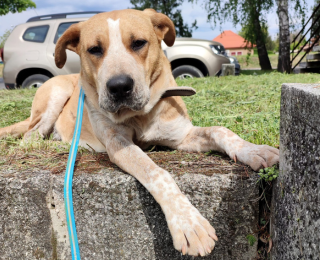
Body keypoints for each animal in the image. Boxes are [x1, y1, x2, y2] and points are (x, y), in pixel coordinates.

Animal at [0, 9, 278, 256]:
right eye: (94, 49)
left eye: (139, 43)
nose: (119, 87)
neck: (140, 115)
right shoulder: (119, 144)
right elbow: (157, 173)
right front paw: (188, 223)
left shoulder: (182, 136)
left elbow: (221, 130)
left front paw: (254, 150)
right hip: (55, 94)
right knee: (31, 135)